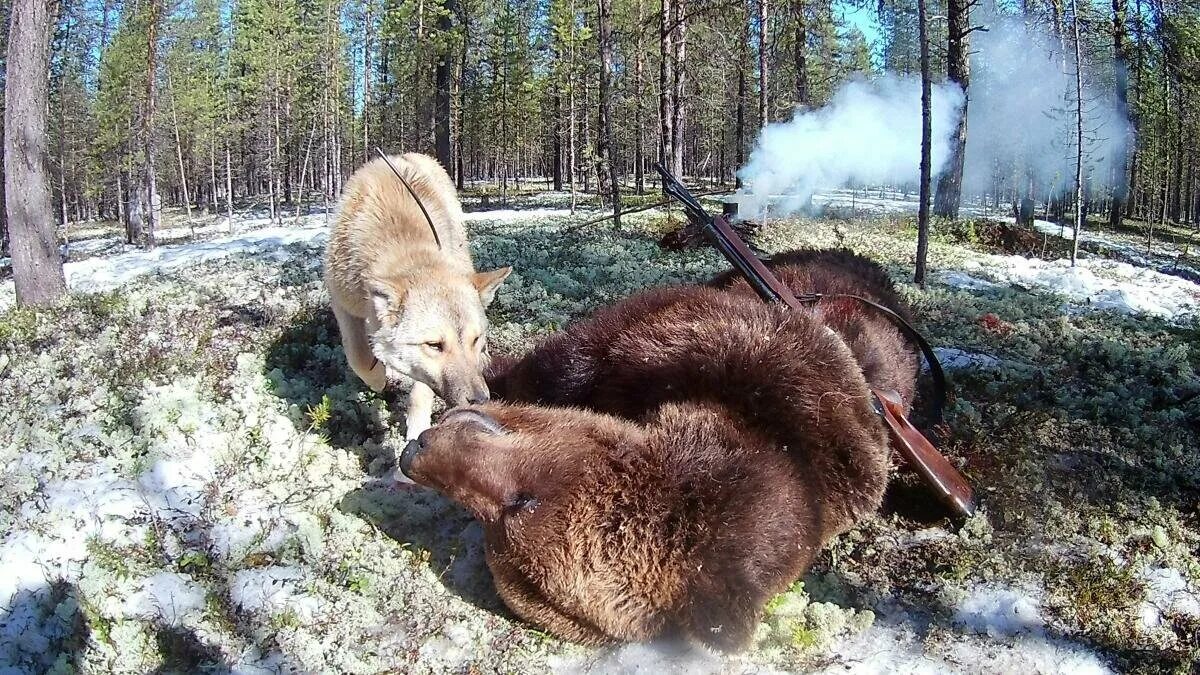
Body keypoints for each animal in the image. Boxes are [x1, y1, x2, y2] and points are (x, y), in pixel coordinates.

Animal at [324, 149, 511, 439]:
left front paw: (415, 432)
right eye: (434, 345)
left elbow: (420, 393)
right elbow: (359, 356)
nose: (481, 401)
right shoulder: (342, 303)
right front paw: (377, 378)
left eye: (475, 339)